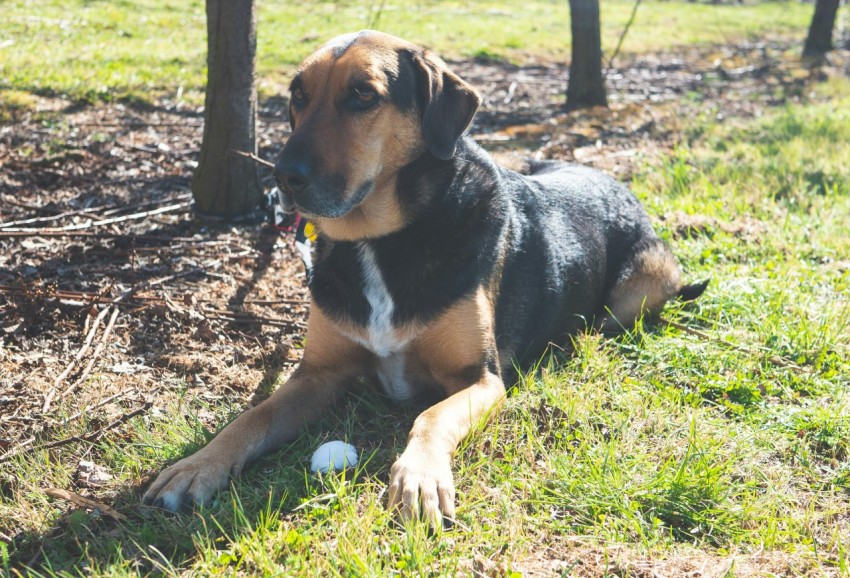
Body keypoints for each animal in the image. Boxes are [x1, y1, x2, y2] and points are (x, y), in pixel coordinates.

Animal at [142, 31, 704, 528]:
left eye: (362, 95)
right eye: (297, 95)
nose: (283, 177)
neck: (381, 240)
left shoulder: (481, 379)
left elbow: (430, 417)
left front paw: (420, 477)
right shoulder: (316, 374)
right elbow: (252, 417)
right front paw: (198, 465)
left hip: (639, 287)